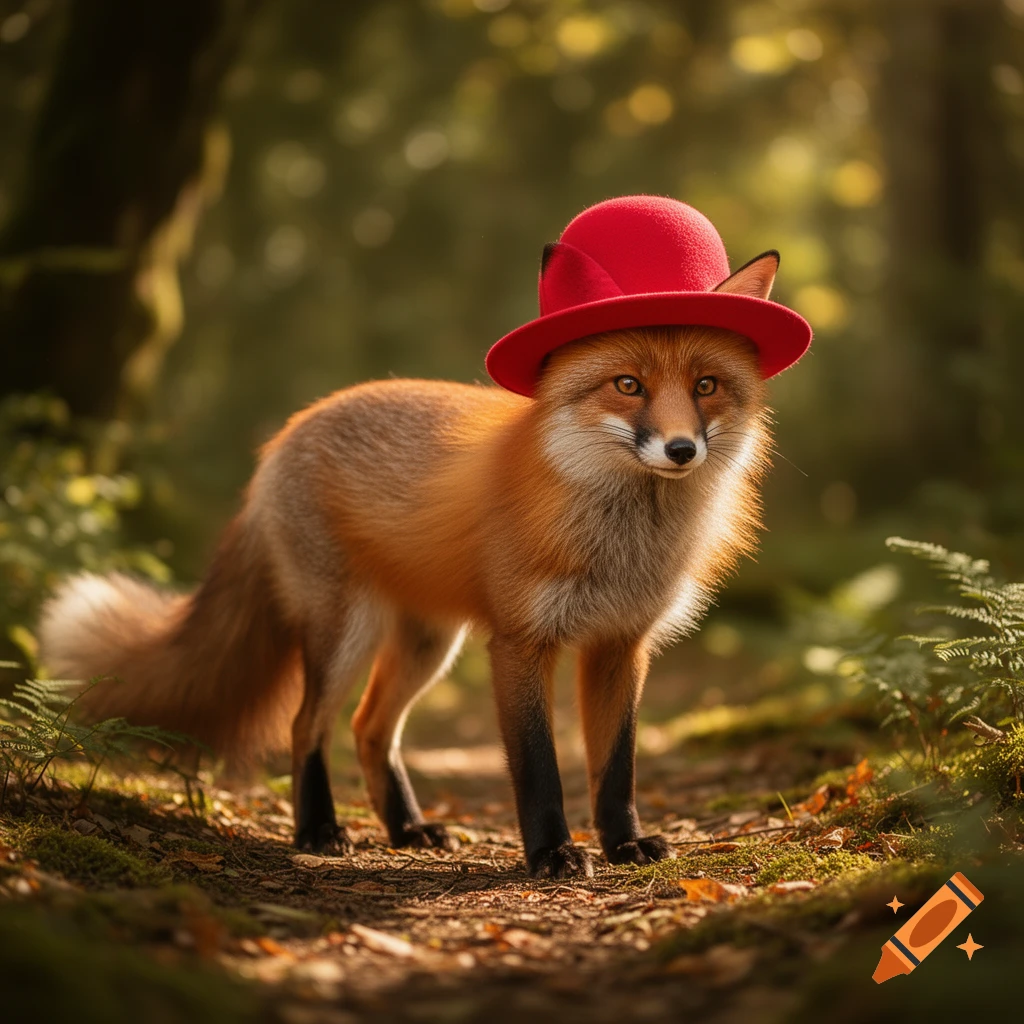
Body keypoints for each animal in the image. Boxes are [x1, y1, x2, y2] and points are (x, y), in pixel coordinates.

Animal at [38, 208, 798, 878]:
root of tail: (288, 432)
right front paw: (552, 854)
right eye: (628, 385)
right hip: (347, 632)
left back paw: (406, 828)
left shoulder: (620, 645)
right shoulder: (519, 643)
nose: (682, 449)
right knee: (308, 725)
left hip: (429, 644)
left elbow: (617, 766)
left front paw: (624, 843)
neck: (623, 541)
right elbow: (539, 767)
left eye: (706, 386)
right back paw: (319, 831)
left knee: (369, 728)